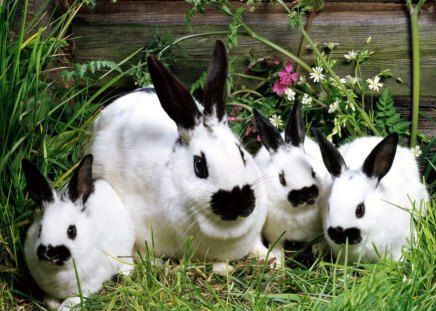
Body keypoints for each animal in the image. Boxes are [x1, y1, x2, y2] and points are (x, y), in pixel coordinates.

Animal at [21, 155, 135, 310]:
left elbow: (73, 300)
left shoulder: (88, 286)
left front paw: (64, 307)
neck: (59, 271)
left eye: (72, 231)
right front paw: (53, 305)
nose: (51, 253)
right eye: (40, 229)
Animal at [252, 103, 330, 262]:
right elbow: (276, 247)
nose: (306, 194)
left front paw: (318, 252)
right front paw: (277, 263)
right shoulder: (274, 234)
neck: (299, 212)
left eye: (313, 171)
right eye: (281, 178)